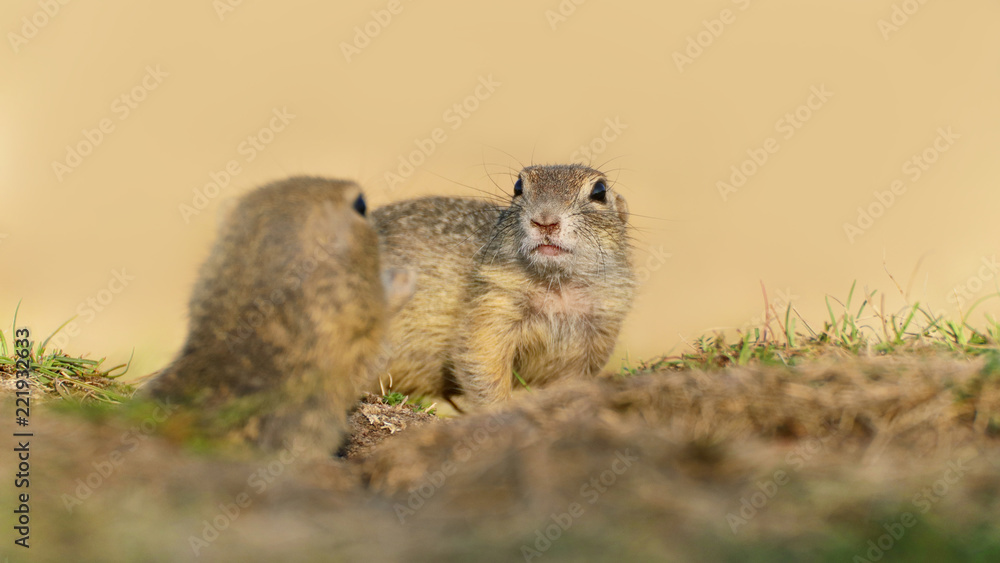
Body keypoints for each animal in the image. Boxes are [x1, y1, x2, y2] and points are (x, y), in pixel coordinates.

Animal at [371, 164, 635, 407]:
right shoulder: (492, 303)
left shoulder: (600, 329)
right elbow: (482, 361)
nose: (545, 221)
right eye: (518, 187)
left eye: (599, 191)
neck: (556, 286)